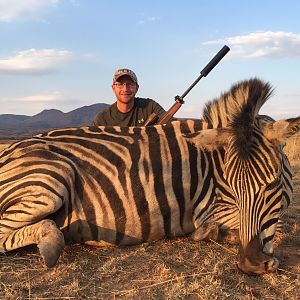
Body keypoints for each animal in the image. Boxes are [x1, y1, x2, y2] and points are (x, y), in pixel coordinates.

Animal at [0, 78, 298, 274]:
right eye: (234, 190)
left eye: (271, 184)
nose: (251, 264)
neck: (214, 163)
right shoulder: (209, 207)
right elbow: (257, 228)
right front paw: (214, 233)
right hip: (50, 180)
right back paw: (53, 241)